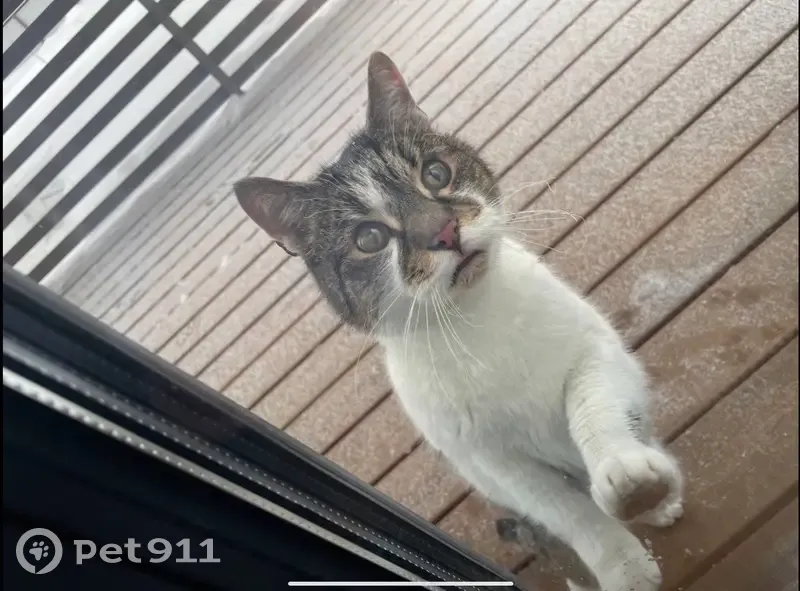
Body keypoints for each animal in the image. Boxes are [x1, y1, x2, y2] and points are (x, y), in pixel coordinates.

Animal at [233, 52, 684, 591]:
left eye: (435, 173)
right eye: (368, 238)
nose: (445, 231)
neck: (478, 322)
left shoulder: (594, 350)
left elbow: (595, 409)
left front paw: (631, 479)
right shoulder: (489, 460)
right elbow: (566, 511)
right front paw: (621, 563)